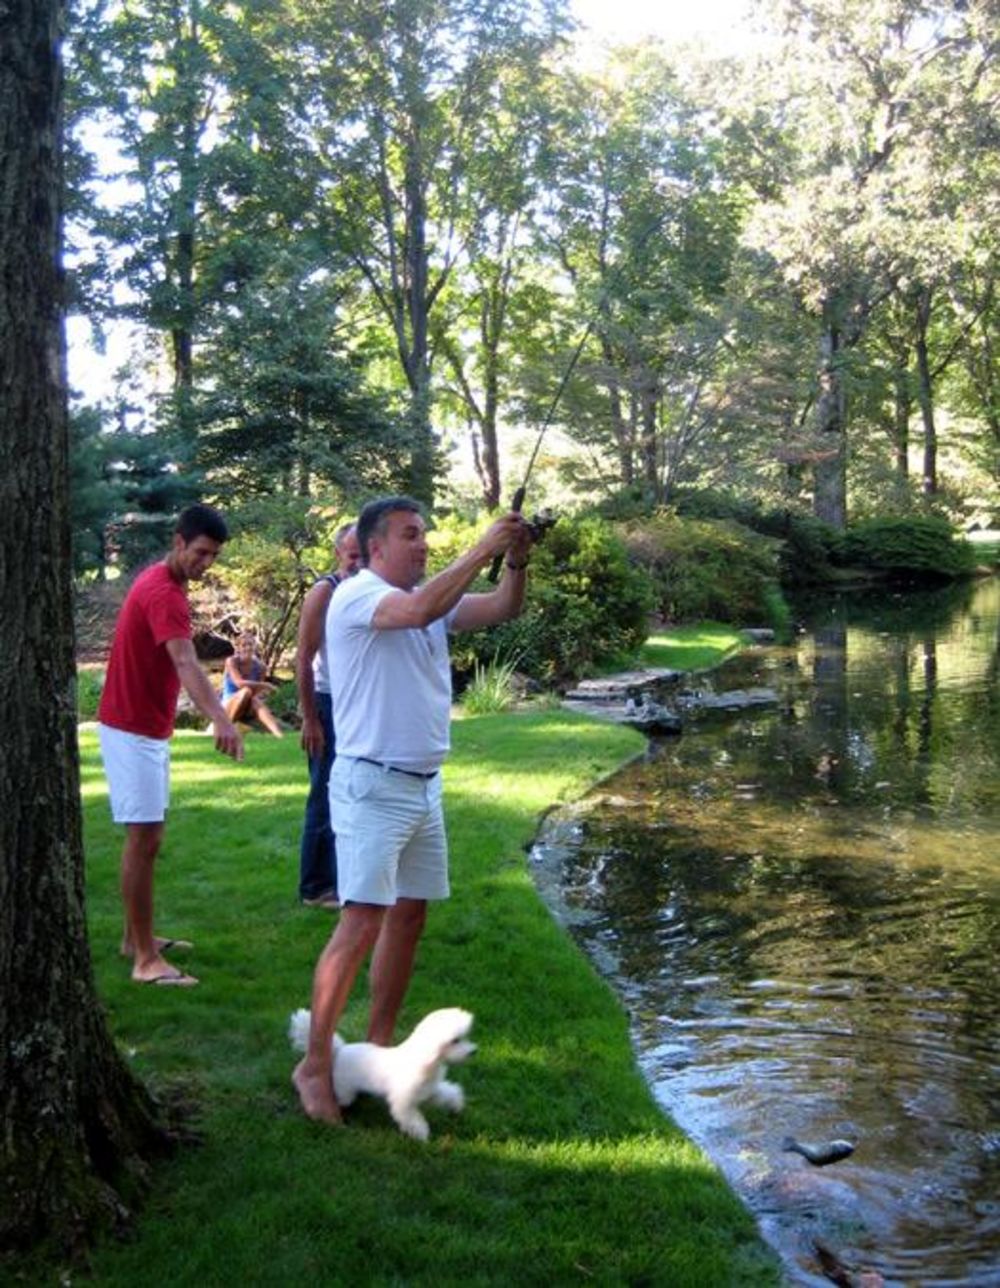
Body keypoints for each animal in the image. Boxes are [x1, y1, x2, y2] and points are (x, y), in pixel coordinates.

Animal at [288, 1004, 476, 1138]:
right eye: (455, 1040)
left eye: (465, 1037)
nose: (473, 1052)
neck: (423, 1062)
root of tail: (340, 1049)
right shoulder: (403, 1101)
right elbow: (412, 1118)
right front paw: (421, 1134)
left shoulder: (429, 1091)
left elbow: (448, 1094)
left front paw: (456, 1105)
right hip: (344, 1089)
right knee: (342, 1097)